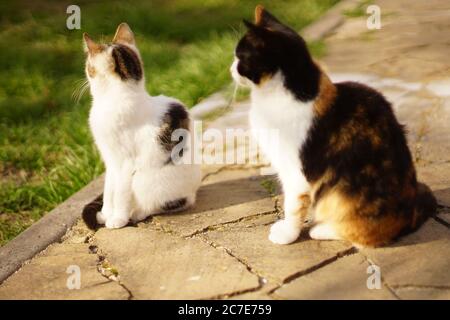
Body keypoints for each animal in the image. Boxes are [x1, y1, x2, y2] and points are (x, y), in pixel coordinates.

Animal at [81, 22, 200, 229]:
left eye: (89, 67)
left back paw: (136, 214)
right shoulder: (111, 162)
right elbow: (109, 190)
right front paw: (106, 214)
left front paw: (117, 219)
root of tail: (193, 193)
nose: (86, 71)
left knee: (163, 204)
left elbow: (120, 193)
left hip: (144, 180)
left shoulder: (126, 163)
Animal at [230, 6, 438, 248]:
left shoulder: (296, 173)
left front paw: (286, 235)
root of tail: (411, 213)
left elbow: (292, 206)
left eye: (240, 57)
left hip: (341, 196)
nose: (230, 69)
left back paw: (320, 229)